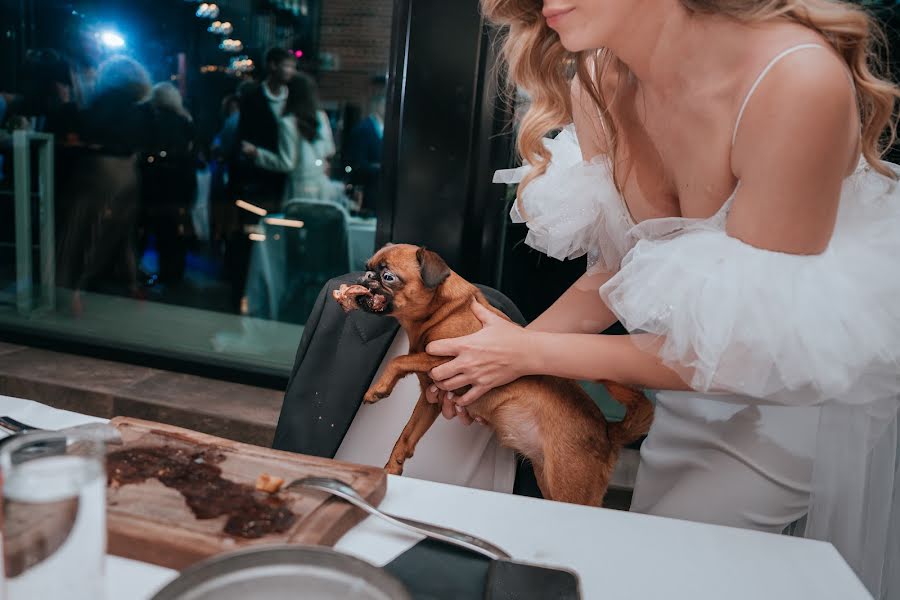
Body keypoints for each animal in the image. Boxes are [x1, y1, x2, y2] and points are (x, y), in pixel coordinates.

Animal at [338, 244, 652, 506]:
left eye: (388, 277)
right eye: (369, 266)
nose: (367, 275)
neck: (440, 312)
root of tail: (609, 432)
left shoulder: (452, 357)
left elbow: (400, 360)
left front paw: (378, 389)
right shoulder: (431, 400)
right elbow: (406, 436)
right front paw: (392, 468)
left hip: (571, 487)